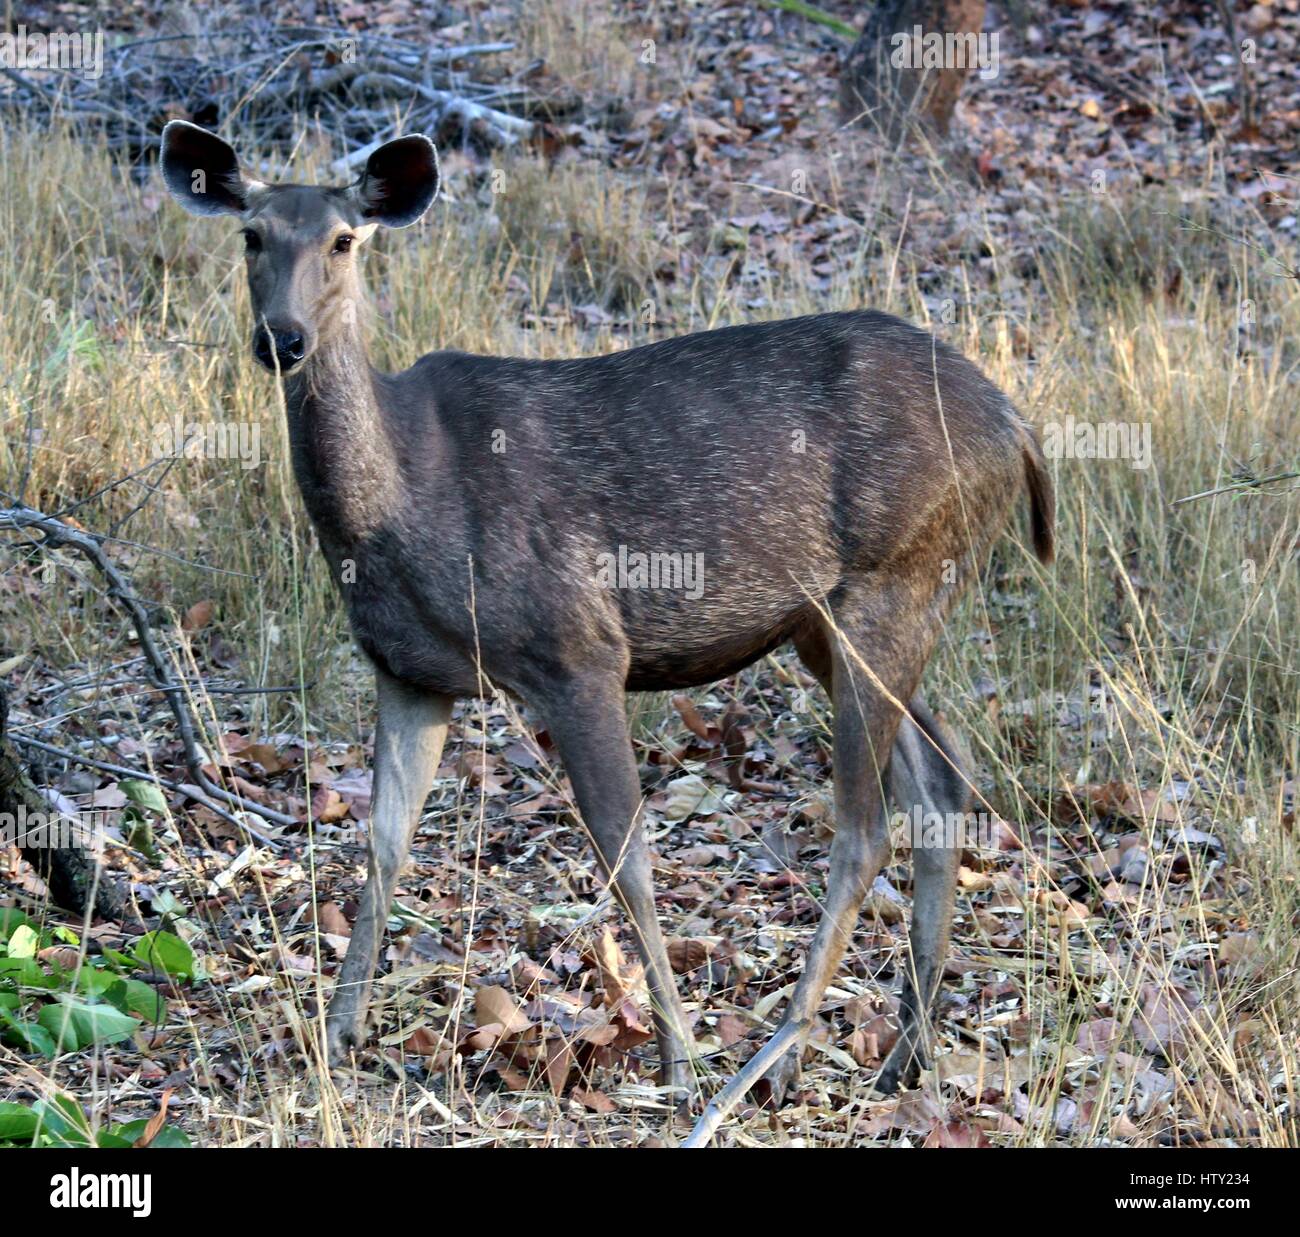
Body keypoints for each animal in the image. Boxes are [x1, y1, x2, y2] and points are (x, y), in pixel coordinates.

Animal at [159, 120, 1055, 1133]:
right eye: (251, 235)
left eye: (345, 239)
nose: (283, 338)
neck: (398, 507)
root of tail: (1018, 428)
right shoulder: (411, 671)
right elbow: (384, 844)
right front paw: (340, 1030)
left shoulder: (578, 649)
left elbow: (627, 855)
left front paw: (676, 1056)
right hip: (833, 618)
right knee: (943, 778)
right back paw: (903, 1055)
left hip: (891, 578)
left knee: (867, 827)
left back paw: (774, 1061)